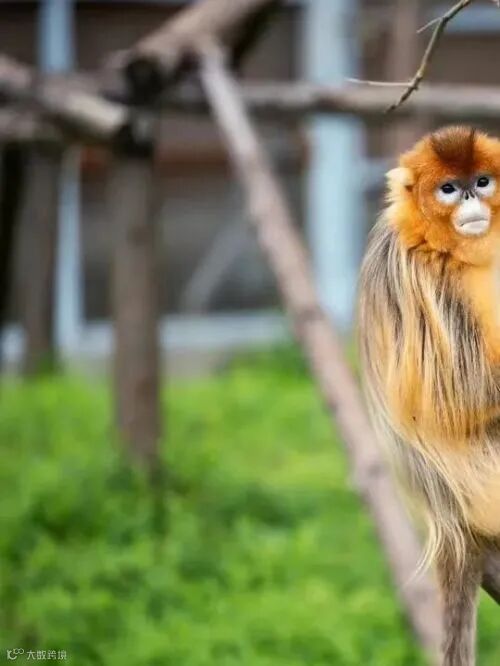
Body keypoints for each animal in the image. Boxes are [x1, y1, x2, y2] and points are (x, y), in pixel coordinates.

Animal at [358, 126, 500, 665]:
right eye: (448, 188)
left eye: (482, 181)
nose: (470, 199)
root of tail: (453, 522)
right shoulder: (409, 268)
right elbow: (459, 395)